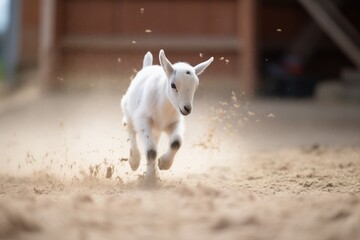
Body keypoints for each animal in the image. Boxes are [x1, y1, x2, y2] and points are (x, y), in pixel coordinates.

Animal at [121, 49, 212, 185]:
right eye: (173, 85)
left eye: (196, 86)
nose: (187, 108)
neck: (165, 107)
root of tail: (147, 66)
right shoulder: (143, 119)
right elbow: (151, 151)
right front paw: (150, 181)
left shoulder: (175, 122)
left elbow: (176, 142)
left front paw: (163, 164)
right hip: (129, 113)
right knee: (130, 131)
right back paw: (134, 161)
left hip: (156, 131)